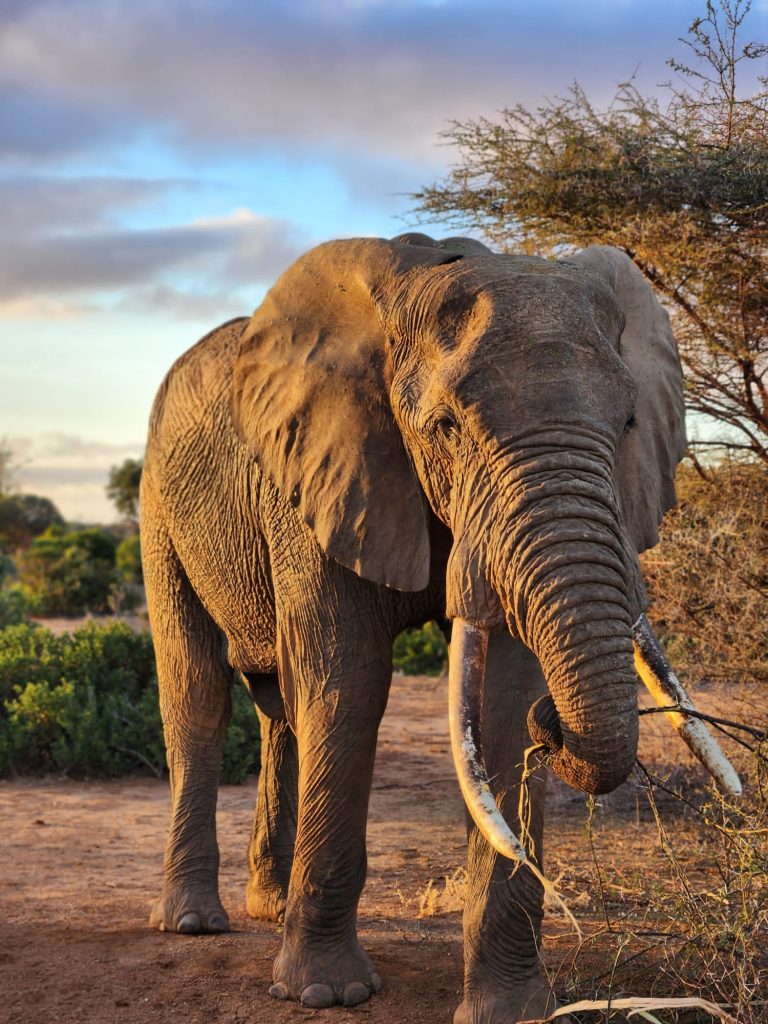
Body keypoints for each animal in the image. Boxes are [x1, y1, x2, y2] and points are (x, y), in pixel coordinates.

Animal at [140, 232, 741, 1024]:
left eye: (628, 426)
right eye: (446, 428)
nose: (558, 725)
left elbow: (500, 703)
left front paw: (512, 1011)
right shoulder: (322, 474)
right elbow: (348, 683)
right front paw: (326, 993)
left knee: (279, 713)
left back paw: (269, 907)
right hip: (157, 501)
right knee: (198, 696)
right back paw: (192, 921)